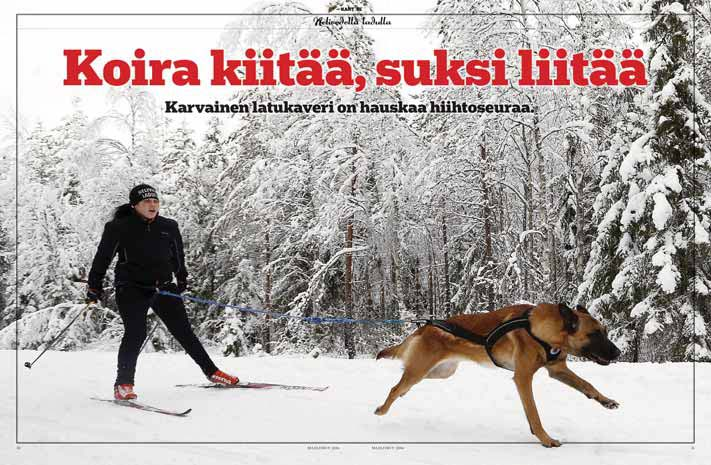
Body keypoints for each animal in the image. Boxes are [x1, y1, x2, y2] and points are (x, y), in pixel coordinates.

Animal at [376, 300, 620, 446]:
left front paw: (606, 400)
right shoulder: (523, 378)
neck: (542, 330)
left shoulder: (557, 369)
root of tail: (425, 327)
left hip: (441, 372)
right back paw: (382, 409)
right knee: (395, 387)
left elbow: (587, 385)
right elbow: (534, 412)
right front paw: (545, 438)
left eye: (605, 332)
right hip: (421, 370)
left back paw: (402, 394)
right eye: (595, 334)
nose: (618, 352)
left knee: (404, 383)